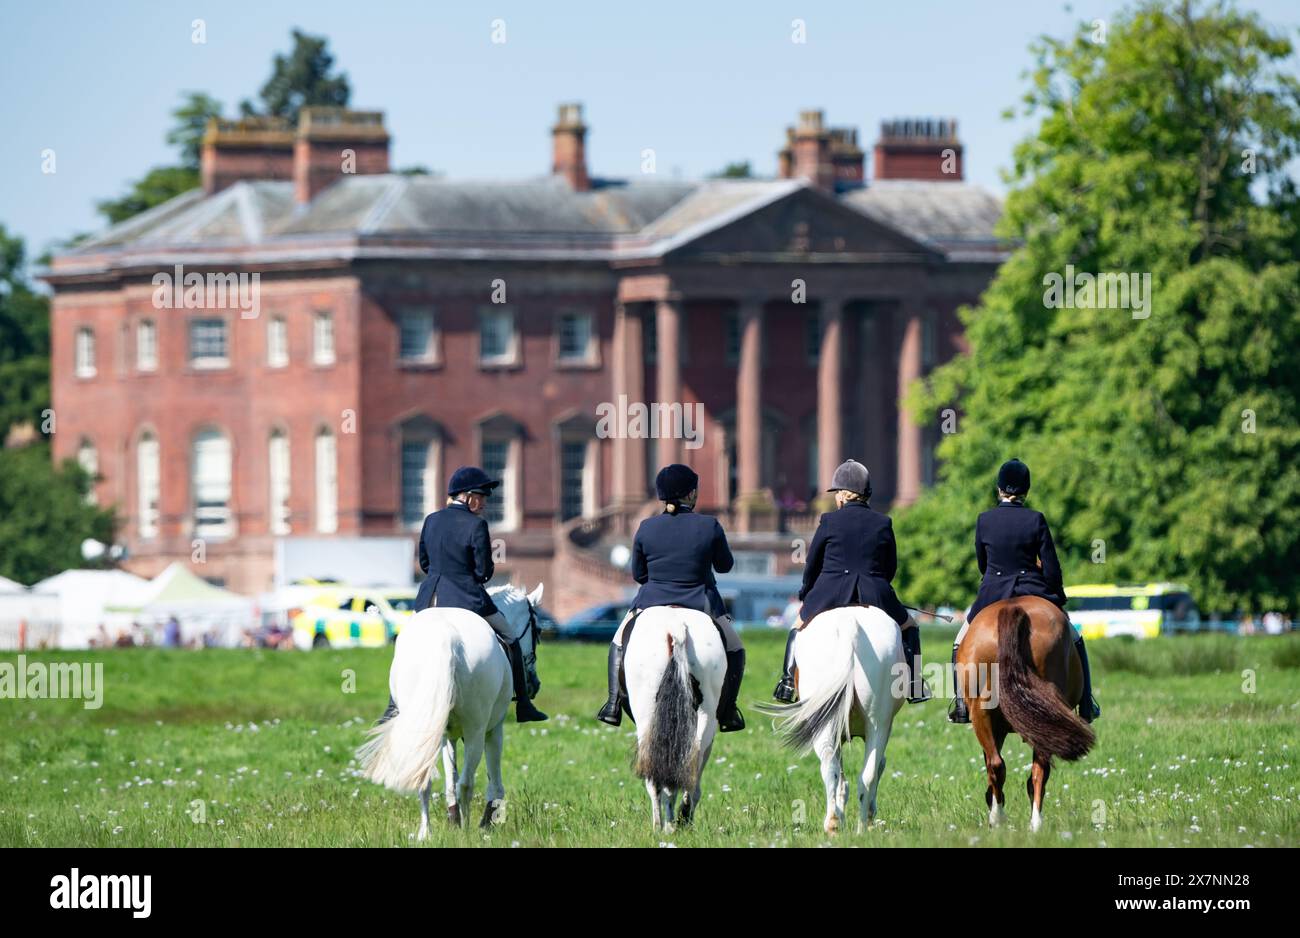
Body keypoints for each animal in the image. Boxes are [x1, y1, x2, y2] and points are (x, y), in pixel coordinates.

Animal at [356, 582, 543, 836]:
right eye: (538, 631)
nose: (534, 685)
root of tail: (445, 636)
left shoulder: (446, 734)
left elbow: (449, 781)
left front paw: (453, 820)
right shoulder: (494, 729)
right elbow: (491, 780)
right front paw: (488, 820)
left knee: (424, 778)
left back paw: (426, 833)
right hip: (476, 730)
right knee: (466, 782)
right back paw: (467, 832)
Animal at [621, 605, 728, 831]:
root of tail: (676, 627)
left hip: (647, 717)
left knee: (656, 778)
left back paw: (661, 826)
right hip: (706, 714)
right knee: (690, 757)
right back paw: (681, 815)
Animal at [759, 605, 904, 831]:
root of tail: (849, 622)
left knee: (833, 766)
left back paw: (837, 823)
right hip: (876, 724)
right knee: (864, 773)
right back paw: (858, 828)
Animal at [956, 595, 1097, 831]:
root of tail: (1014, 607)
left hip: (982, 713)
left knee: (1000, 765)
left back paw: (1004, 819)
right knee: (1036, 771)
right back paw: (1030, 822)